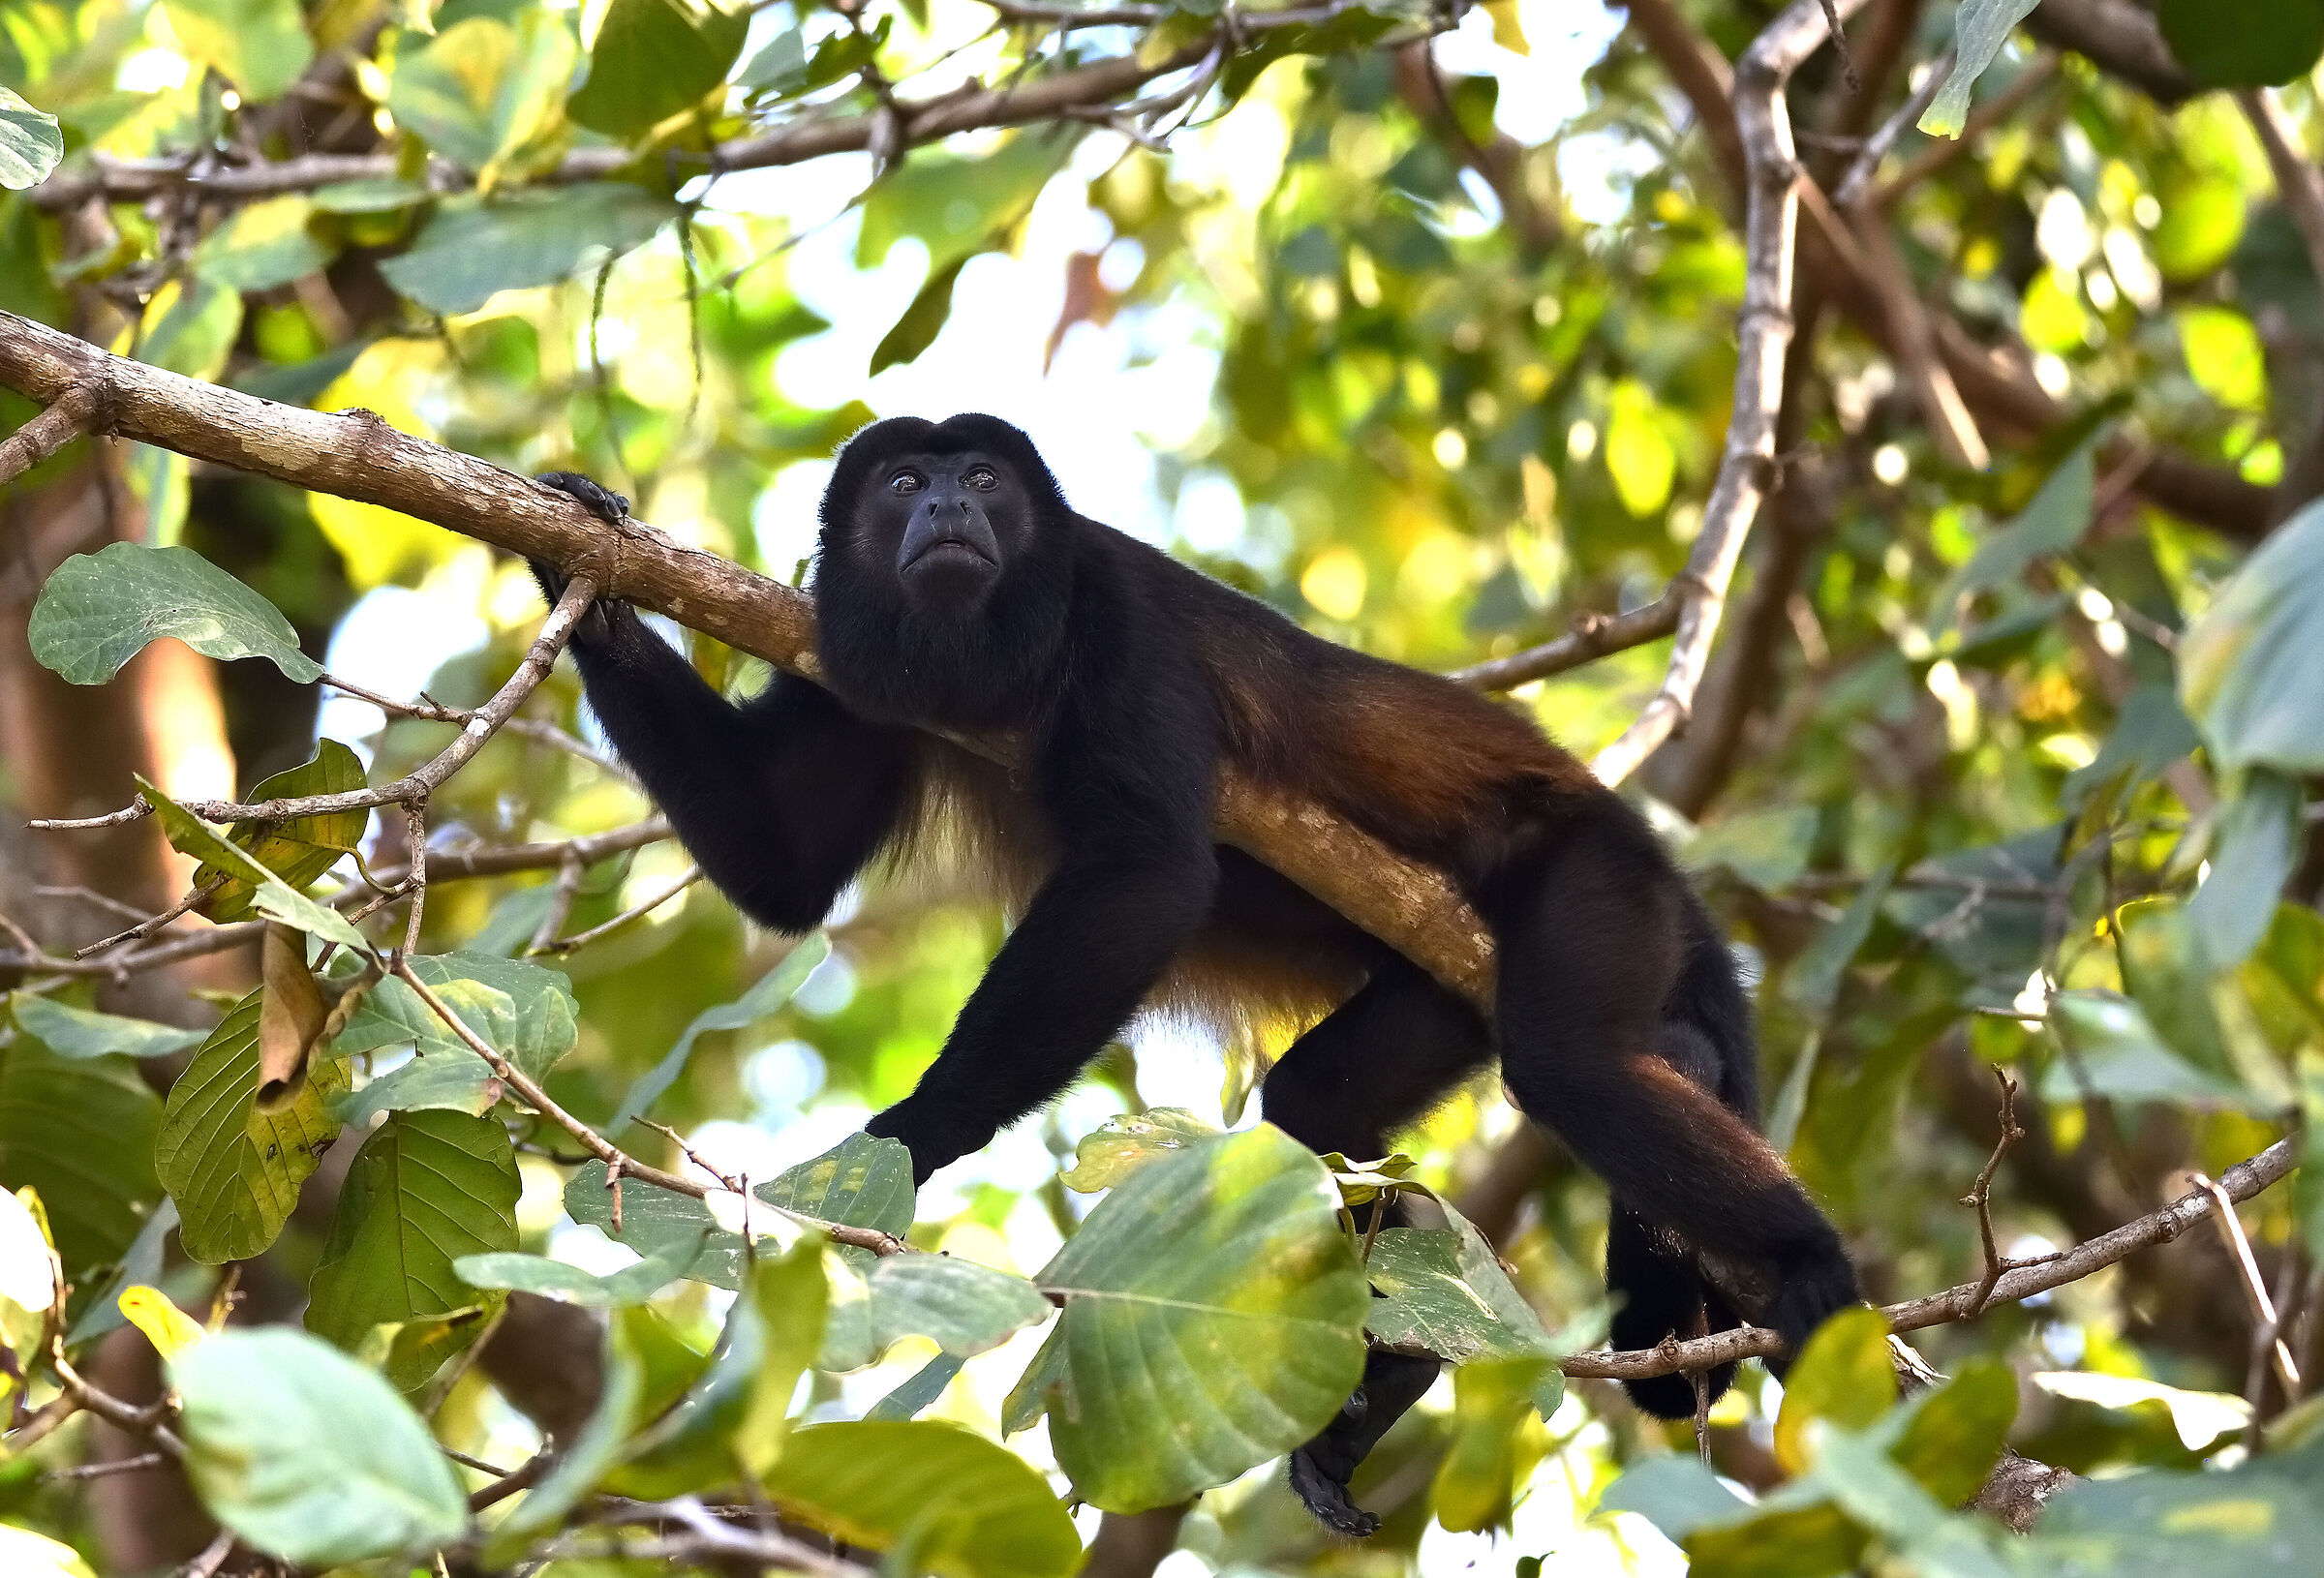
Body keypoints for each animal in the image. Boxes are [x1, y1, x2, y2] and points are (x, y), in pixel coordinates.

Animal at [528, 412, 1858, 1535]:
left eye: (985, 479)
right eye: (904, 483)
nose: (947, 503)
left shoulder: (1121, 621)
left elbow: (1150, 875)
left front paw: (914, 1133)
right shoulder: (843, 662)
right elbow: (783, 867)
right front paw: (578, 566)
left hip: (1599, 878)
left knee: (1572, 1061)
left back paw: (1806, 1259)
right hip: (1443, 988)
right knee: (1318, 1108)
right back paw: (1388, 1371)